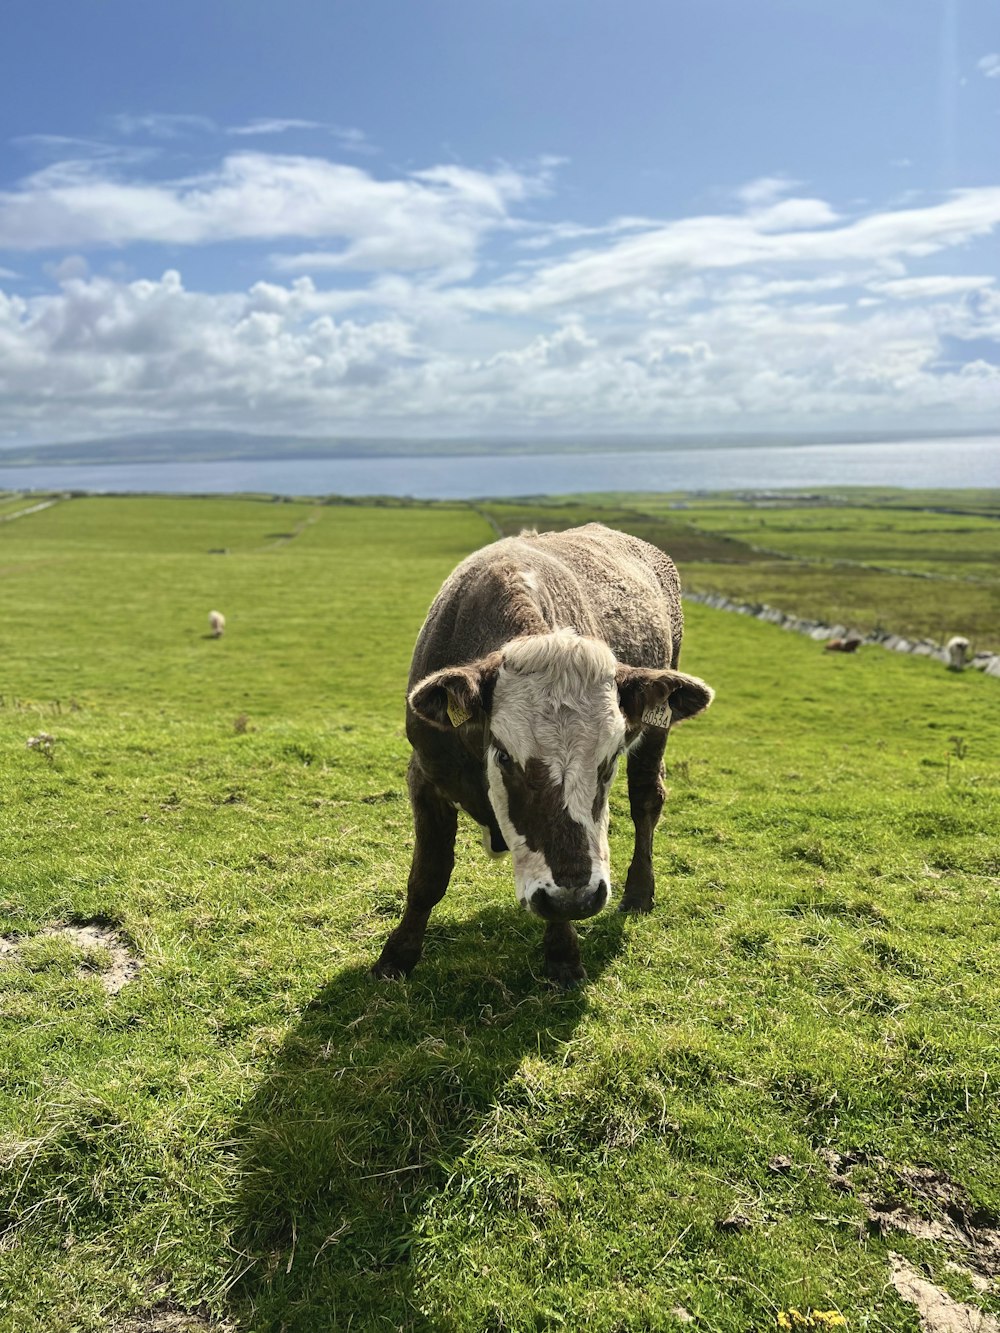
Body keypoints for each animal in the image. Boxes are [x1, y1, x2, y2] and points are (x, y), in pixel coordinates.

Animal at [373, 525, 714, 986]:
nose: (576, 898)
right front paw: (397, 956)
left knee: (647, 800)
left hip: (658, 726)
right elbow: (429, 873)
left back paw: (640, 891)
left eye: (609, 759)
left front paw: (563, 954)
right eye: (503, 756)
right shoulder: (426, 773)